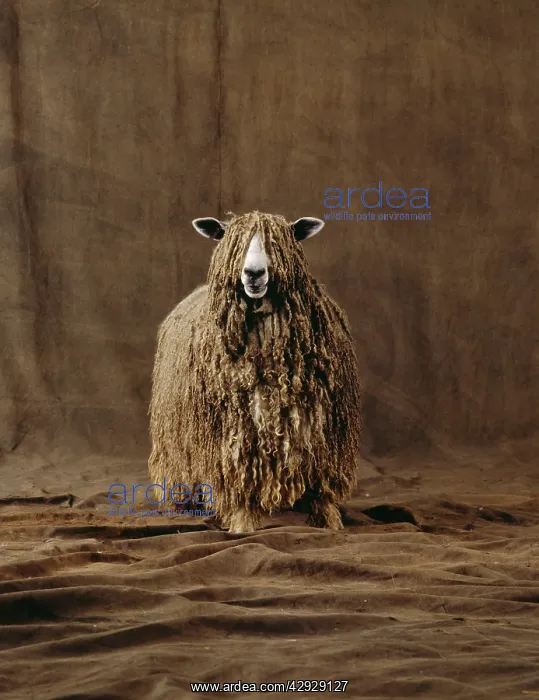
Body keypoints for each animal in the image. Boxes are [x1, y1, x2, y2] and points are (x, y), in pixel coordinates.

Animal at [148, 211, 362, 534]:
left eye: (279, 243)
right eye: (231, 240)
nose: (253, 273)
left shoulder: (325, 426)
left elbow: (321, 477)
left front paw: (328, 519)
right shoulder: (234, 427)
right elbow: (239, 472)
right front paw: (242, 522)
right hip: (175, 433)